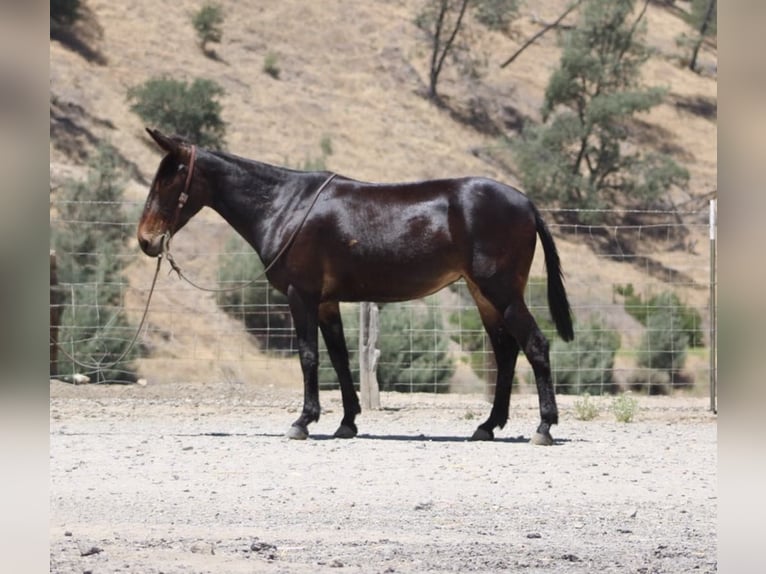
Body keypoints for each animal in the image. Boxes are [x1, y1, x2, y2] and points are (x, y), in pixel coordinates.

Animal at [137, 128, 574, 445]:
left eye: (166, 182)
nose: (146, 241)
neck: (286, 205)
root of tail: (526, 203)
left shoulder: (301, 296)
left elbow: (309, 356)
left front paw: (303, 421)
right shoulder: (326, 303)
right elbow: (340, 358)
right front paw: (346, 422)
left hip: (501, 291)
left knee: (535, 345)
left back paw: (544, 427)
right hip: (484, 294)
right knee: (506, 352)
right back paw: (487, 425)